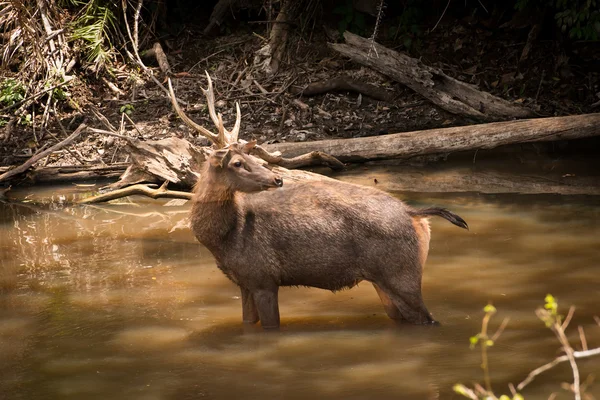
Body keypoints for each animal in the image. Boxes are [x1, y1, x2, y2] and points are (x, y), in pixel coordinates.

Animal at [166, 73, 466, 330]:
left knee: (428, 318)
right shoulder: (244, 282)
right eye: (238, 162)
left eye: (251, 158)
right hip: (385, 280)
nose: (277, 179)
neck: (225, 239)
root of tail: (414, 214)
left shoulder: (264, 278)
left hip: (401, 273)